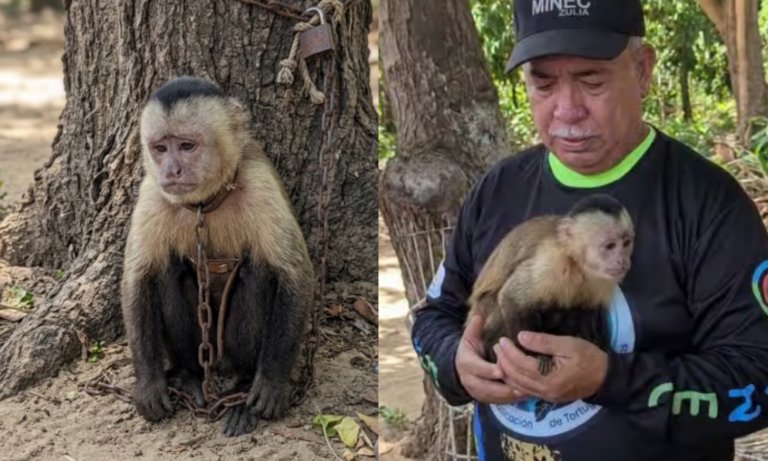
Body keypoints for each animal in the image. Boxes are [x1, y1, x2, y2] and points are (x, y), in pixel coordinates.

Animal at [120, 76, 314, 437]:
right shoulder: (153, 192)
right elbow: (136, 280)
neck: (205, 203)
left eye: (186, 146)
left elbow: (296, 277)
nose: (172, 170)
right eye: (160, 148)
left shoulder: (259, 184)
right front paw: (149, 384)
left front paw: (272, 382)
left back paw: (244, 385)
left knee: (258, 272)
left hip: (225, 348)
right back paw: (188, 375)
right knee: (167, 270)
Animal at [467, 194, 634, 376]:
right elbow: (511, 298)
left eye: (626, 243)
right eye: (610, 246)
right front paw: (535, 355)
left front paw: (590, 343)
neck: (577, 262)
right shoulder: (551, 262)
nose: (622, 261)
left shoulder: (603, 278)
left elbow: (586, 308)